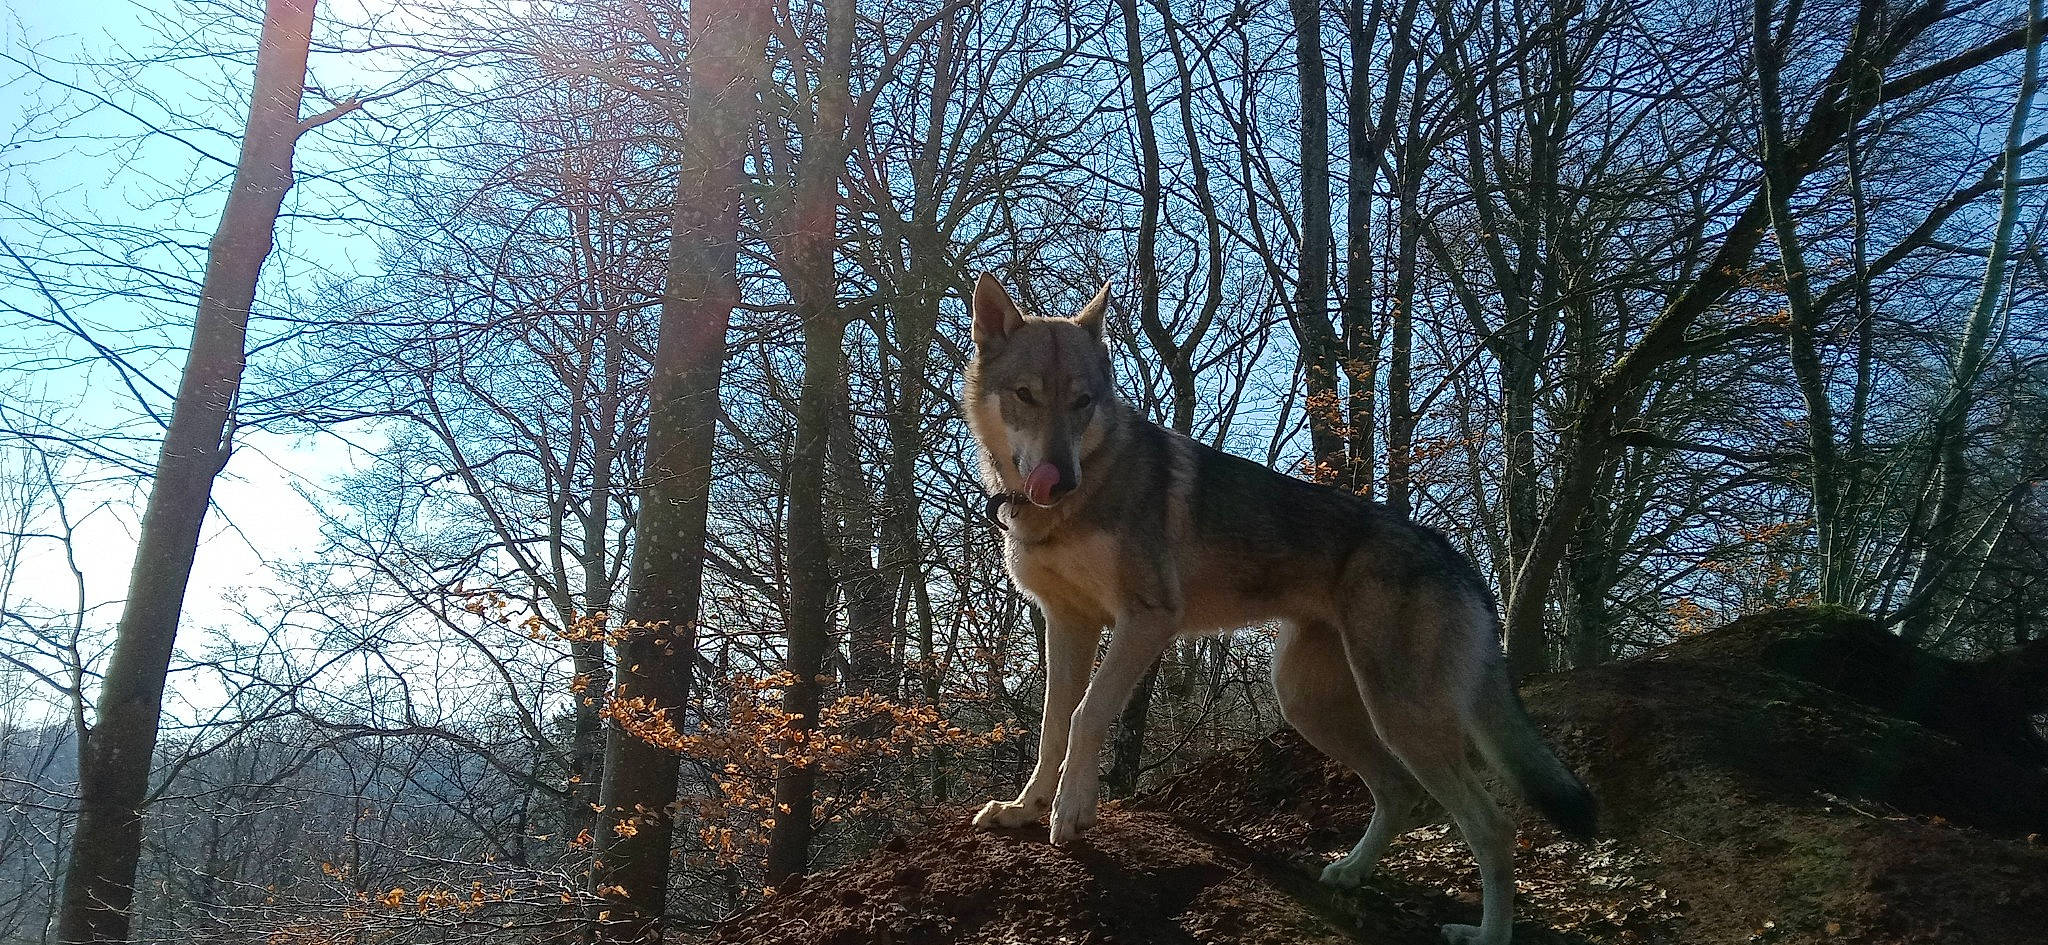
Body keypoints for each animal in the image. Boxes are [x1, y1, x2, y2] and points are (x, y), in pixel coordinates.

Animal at [960, 274, 1595, 945]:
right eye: (1026, 396)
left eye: (1083, 402)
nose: (1061, 479)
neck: (1070, 504)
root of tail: (1458, 560)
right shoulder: (1068, 624)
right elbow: (1053, 724)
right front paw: (1025, 808)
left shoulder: (1147, 619)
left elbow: (1086, 715)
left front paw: (1070, 812)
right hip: (1308, 703)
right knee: (1398, 793)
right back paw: (1349, 873)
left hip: (1399, 717)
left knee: (1494, 828)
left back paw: (1484, 932)